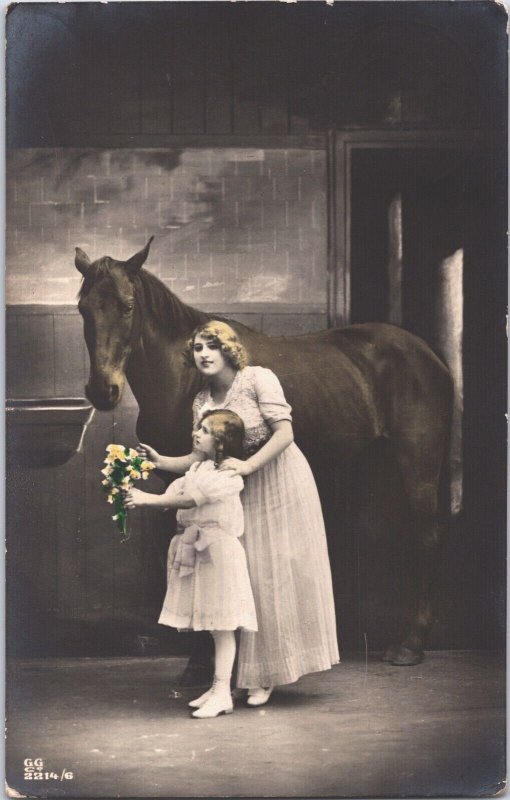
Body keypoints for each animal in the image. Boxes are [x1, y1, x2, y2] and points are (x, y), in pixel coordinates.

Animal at [76, 238, 454, 668]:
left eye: (127, 306)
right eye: (83, 308)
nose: (102, 391)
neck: (187, 376)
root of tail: (428, 354)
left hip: (419, 462)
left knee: (426, 536)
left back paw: (410, 644)